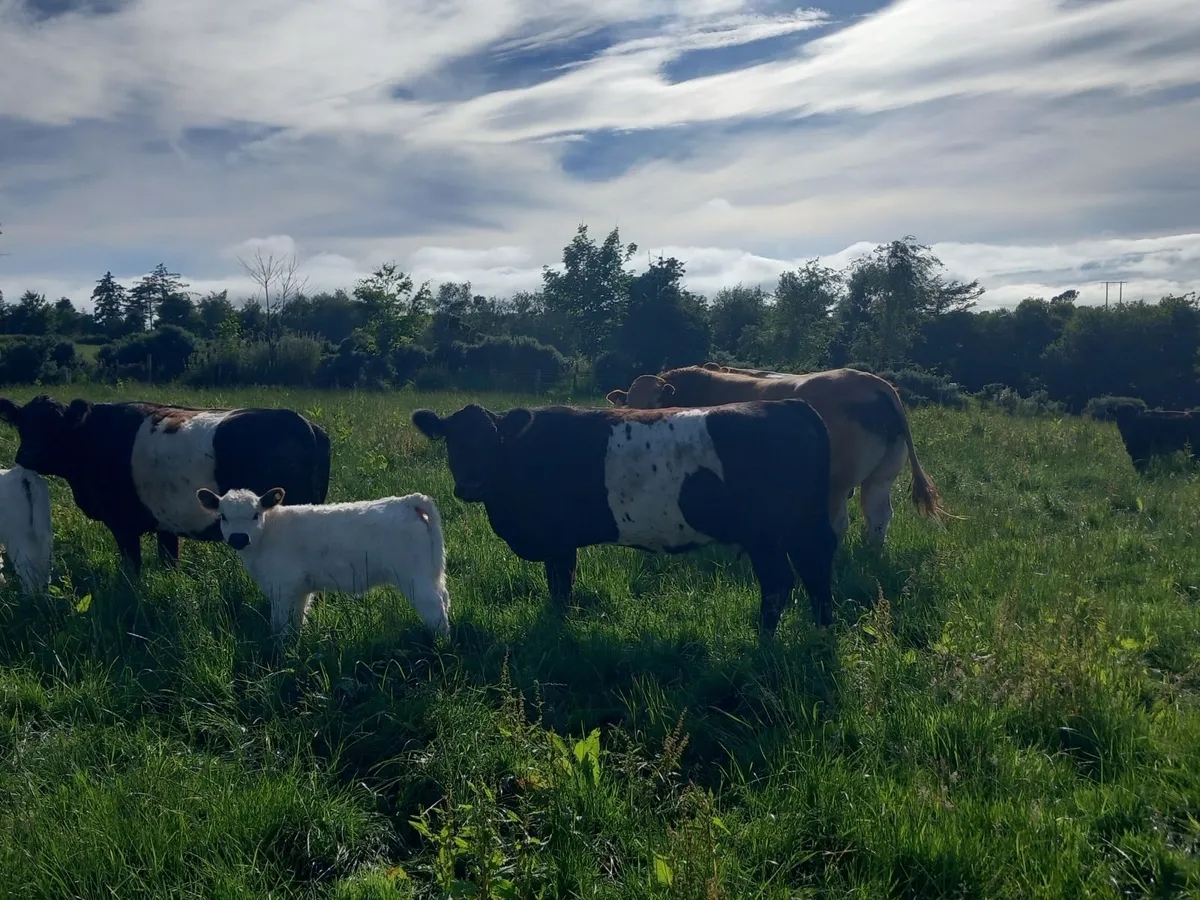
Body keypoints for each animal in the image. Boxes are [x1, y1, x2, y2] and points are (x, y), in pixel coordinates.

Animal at [0, 394, 332, 573]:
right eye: (22, 424)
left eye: (55, 425)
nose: (25, 454)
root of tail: (302, 421)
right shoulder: (167, 523)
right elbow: (169, 560)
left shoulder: (123, 524)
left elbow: (132, 569)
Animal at [411, 399, 838, 634]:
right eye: (452, 441)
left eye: (492, 440)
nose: (471, 485)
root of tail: (789, 405)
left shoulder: (558, 541)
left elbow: (561, 588)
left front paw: (557, 628)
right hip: (802, 527)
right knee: (817, 572)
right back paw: (820, 634)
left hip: (766, 535)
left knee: (780, 583)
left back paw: (764, 642)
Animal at [606, 364, 944, 546]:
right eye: (629, 402)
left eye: (654, 402)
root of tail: (874, 383)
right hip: (881, 477)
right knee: (878, 517)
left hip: (836, 481)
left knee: (838, 522)